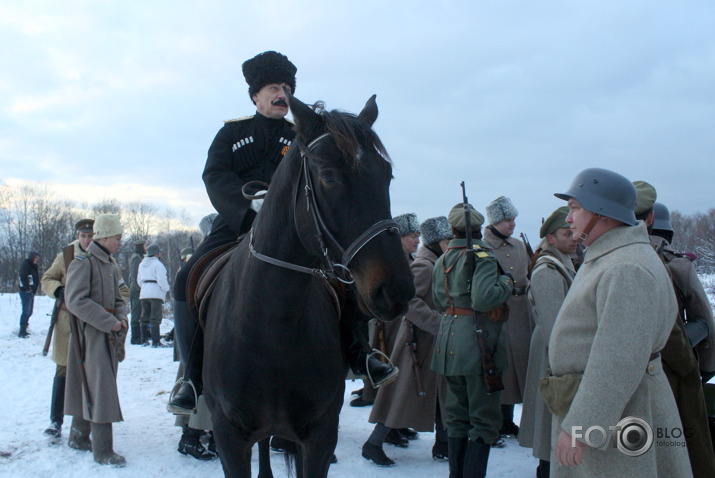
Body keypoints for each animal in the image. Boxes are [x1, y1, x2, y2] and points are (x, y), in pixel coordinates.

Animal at [200, 90, 414, 478]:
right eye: (328, 176)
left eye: (386, 175)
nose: (396, 289)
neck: (272, 326)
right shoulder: (229, 438)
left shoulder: (319, 437)